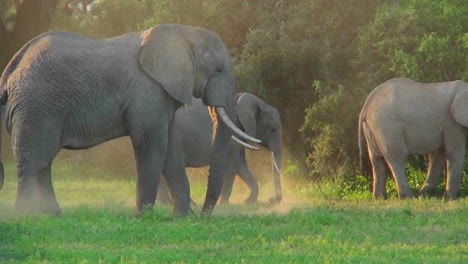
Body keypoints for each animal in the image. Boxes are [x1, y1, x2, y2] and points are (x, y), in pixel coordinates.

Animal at [0, 23, 260, 216]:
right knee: (34, 159)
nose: (204, 215)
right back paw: (28, 214)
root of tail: (11, 69)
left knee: (44, 160)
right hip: (36, 106)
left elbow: (169, 149)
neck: (182, 32)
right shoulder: (148, 90)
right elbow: (152, 144)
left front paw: (183, 216)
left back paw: (51, 214)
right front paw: (144, 216)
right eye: (217, 70)